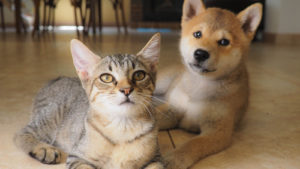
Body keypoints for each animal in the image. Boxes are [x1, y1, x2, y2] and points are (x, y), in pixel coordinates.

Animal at [14, 33, 164, 169]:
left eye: (139, 75)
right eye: (106, 78)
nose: (126, 89)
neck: (123, 127)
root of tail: (56, 79)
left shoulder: (156, 158)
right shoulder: (77, 157)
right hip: (51, 119)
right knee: (21, 133)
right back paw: (44, 148)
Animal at [156, 0, 262, 169]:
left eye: (224, 42)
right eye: (197, 34)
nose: (200, 53)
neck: (200, 85)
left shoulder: (217, 131)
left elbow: (194, 144)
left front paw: (175, 158)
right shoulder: (172, 109)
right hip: (161, 82)